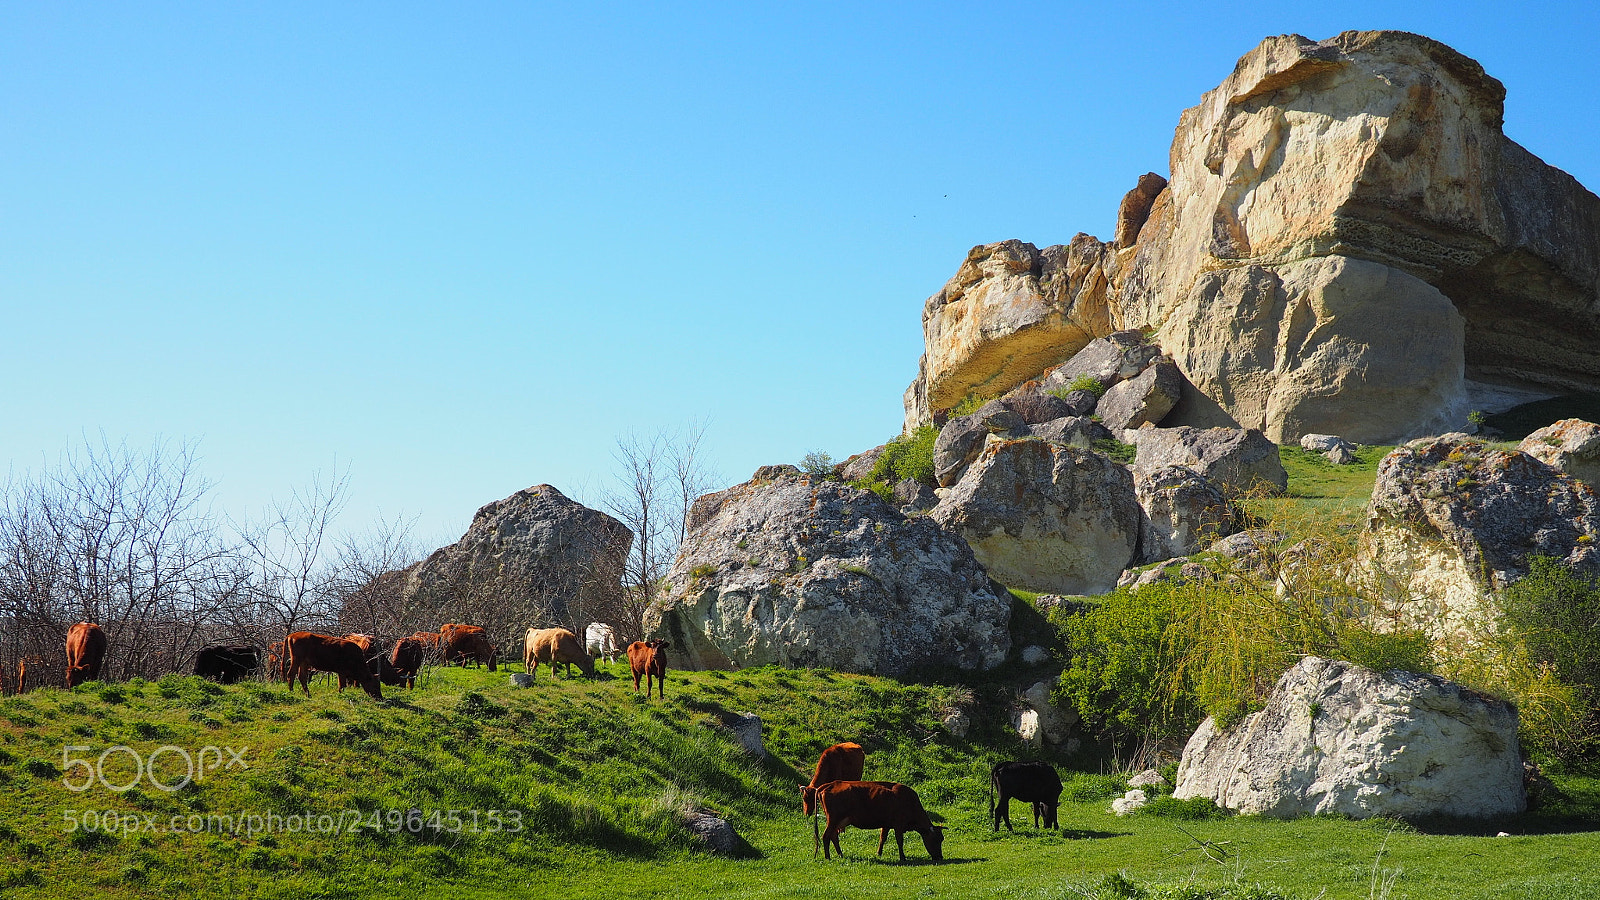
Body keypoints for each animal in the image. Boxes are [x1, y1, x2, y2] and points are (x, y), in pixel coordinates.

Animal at [816, 781, 944, 862]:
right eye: (936, 839)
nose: (940, 857)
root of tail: (831, 784)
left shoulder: (886, 825)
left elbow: (882, 839)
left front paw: (879, 853)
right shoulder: (899, 825)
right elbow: (900, 841)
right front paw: (902, 857)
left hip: (837, 822)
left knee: (833, 836)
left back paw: (840, 854)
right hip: (833, 820)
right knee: (826, 836)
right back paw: (828, 857)